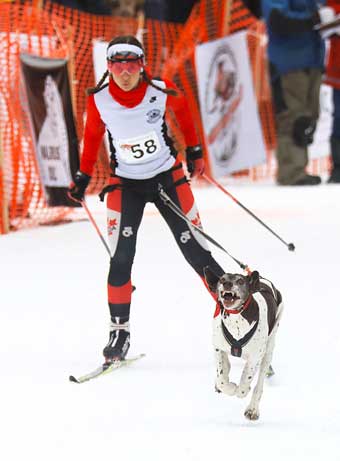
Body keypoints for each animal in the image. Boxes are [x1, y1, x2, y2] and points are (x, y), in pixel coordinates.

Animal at [205, 266, 284, 420]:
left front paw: (242, 389)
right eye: (222, 279)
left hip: (268, 351)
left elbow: (244, 382)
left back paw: (252, 409)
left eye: (240, 281)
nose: (227, 284)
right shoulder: (218, 347)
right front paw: (228, 386)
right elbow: (222, 378)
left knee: (259, 384)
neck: (237, 319)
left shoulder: (255, 357)